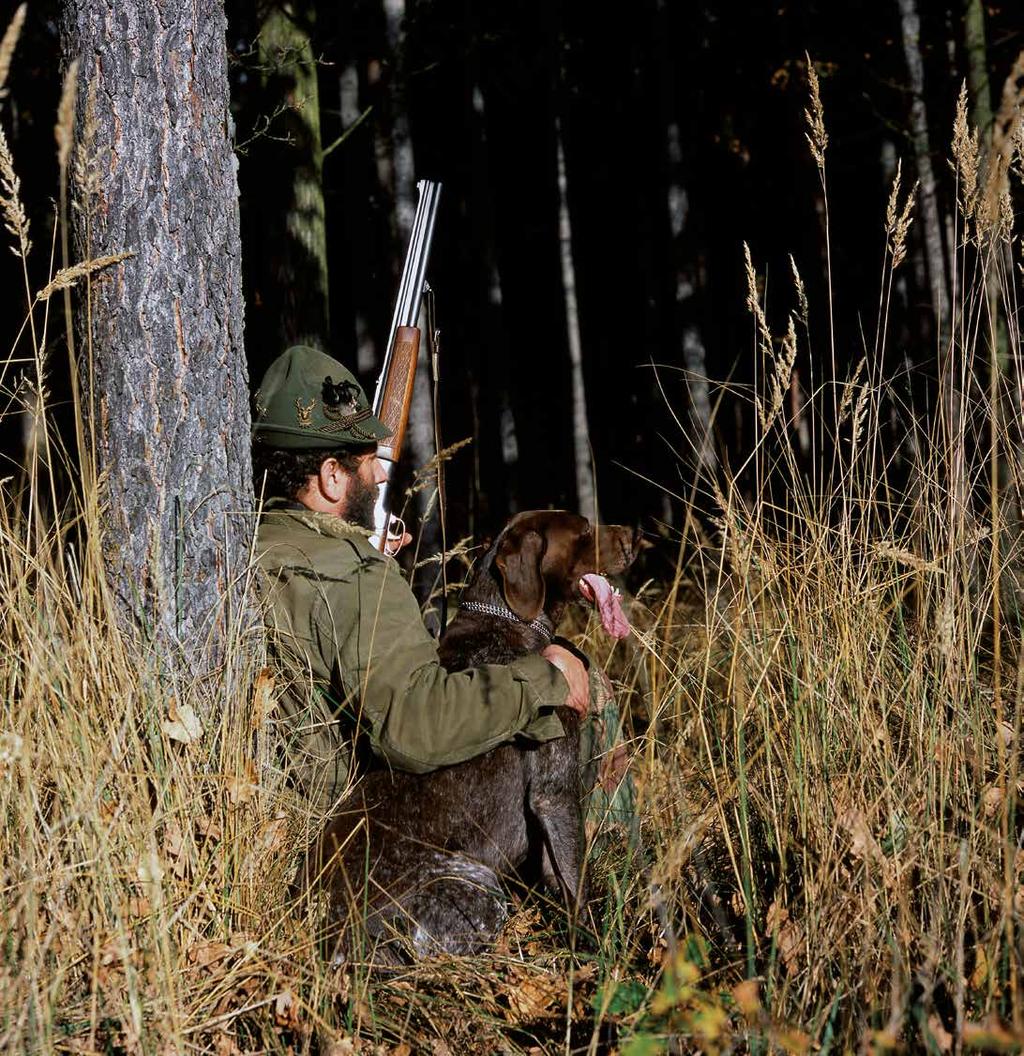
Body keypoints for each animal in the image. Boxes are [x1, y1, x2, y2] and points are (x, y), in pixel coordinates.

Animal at [291, 511, 633, 967]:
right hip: (478, 883)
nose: (634, 535)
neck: (507, 618)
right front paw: (597, 952)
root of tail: (331, 937)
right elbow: (576, 885)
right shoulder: (554, 792)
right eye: (583, 532)